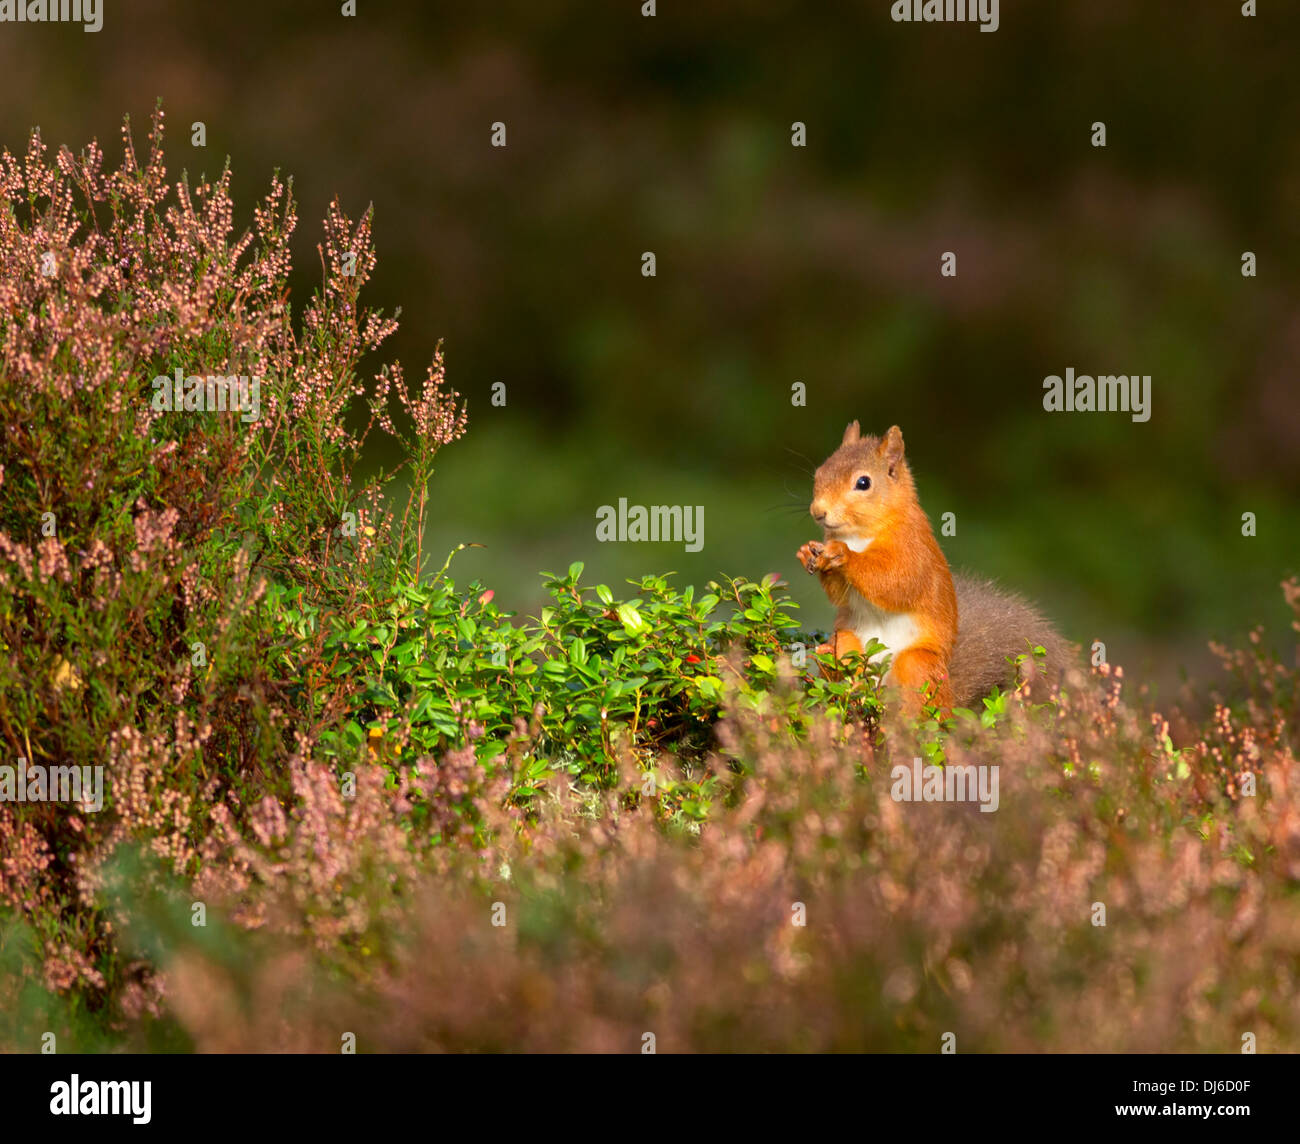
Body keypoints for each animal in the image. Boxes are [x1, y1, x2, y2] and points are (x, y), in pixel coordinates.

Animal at [796, 422, 1070, 716]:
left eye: (863, 483)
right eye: (819, 472)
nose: (818, 512)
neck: (858, 534)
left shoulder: (915, 552)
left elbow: (895, 582)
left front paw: (844, 555)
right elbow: (841, 596)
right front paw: (807, 553)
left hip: (920, 666)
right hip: (849, 643)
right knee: (847, 656)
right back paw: (830, 663)